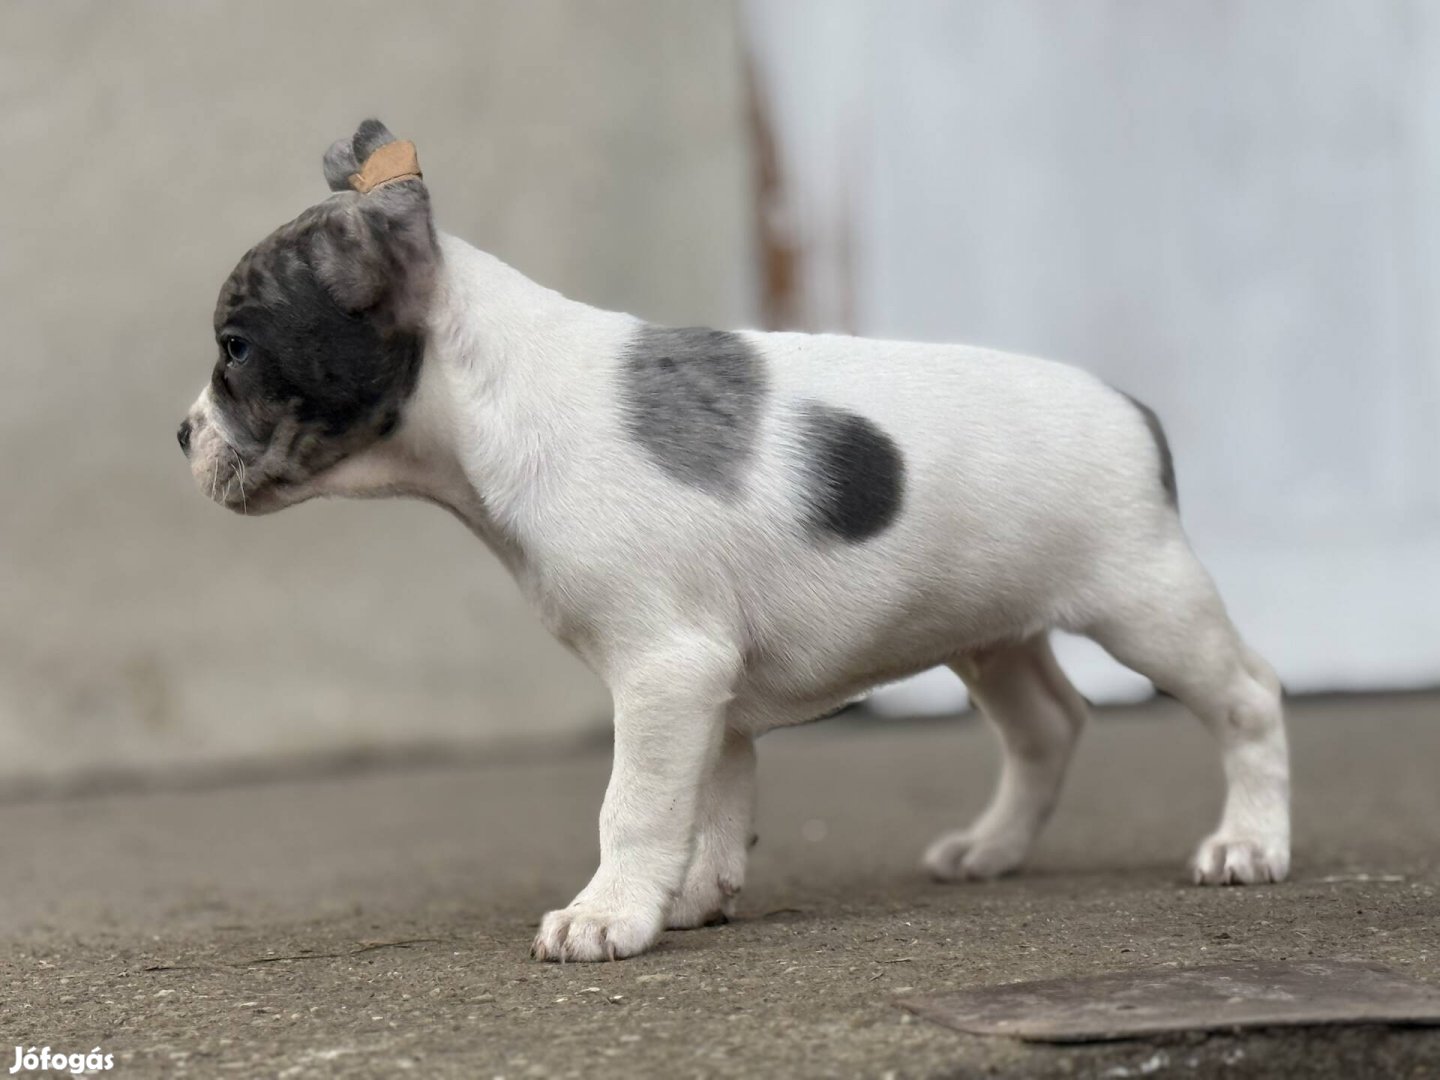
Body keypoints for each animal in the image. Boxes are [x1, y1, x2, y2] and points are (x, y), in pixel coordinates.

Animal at [180, 120, 1296, 961]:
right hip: (994, 633)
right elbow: (708, 805)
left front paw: (607, 916)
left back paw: (1248, 846)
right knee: (1046, 728)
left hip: (1146, 606)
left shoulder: (664, 672)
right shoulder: (703, 688)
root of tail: (1131, 410)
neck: (495, 391)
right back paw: (992, 849)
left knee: (1246, 696)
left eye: (237, 349)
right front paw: (689, 899)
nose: (182, 434)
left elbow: (635, 805)